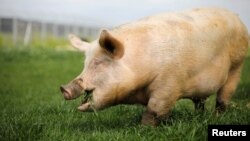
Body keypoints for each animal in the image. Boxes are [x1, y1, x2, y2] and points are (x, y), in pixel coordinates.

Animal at [60, 8, 248, 126]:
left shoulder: (170, 83)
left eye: (99, 63)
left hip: (237, 65)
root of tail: (237, 18)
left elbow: (154, 109)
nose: (64, 88)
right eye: (85, 63)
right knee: (200, 101)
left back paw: (217, 117)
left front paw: (145, 128)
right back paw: (199, 116)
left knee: (223, 97)